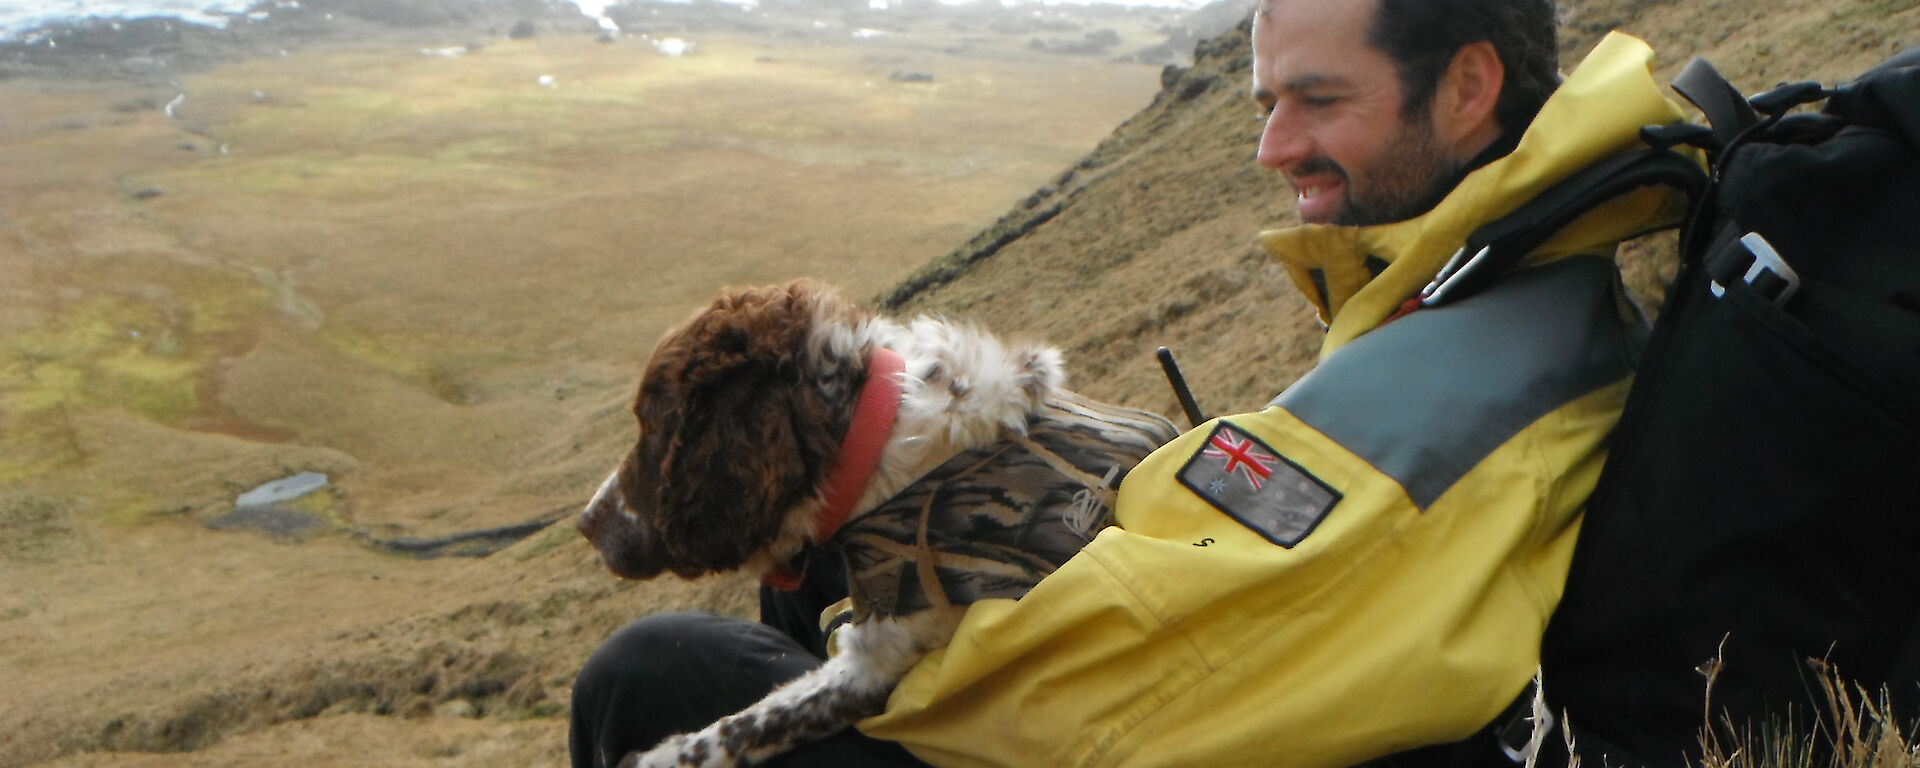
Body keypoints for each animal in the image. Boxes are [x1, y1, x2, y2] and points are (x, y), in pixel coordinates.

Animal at [568, 282, 1167, 768]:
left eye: (652, 425)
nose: (586, 523)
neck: (884, 436)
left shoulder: (882, 658)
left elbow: (754, 723)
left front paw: (657, 756)